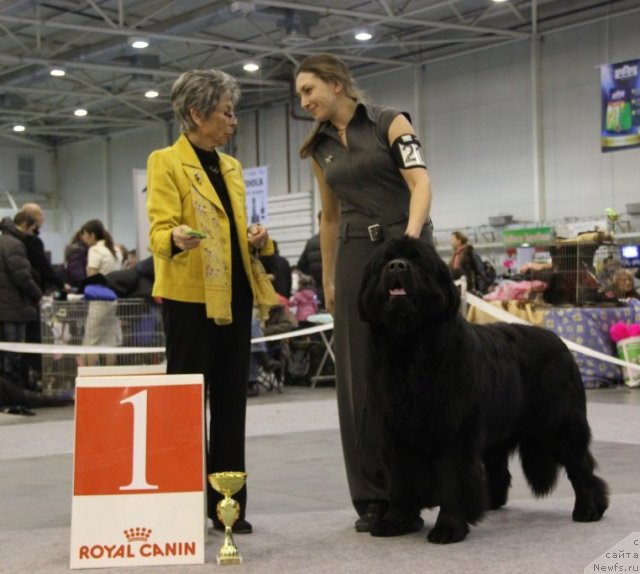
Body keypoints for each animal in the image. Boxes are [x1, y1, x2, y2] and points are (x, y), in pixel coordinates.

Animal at [358, 237, 608, 544]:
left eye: (417, 261)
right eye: (385, 261)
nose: (397, 266)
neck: (410, 348)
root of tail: (558, 340)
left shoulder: (454, 430)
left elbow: (452, 479)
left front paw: (449, 527)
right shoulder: (396, 431)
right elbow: (401, 480)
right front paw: (395, 521)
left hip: (560, 424)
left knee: (581, 466)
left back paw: (589, 509)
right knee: (498, 468)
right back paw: (489, 502)